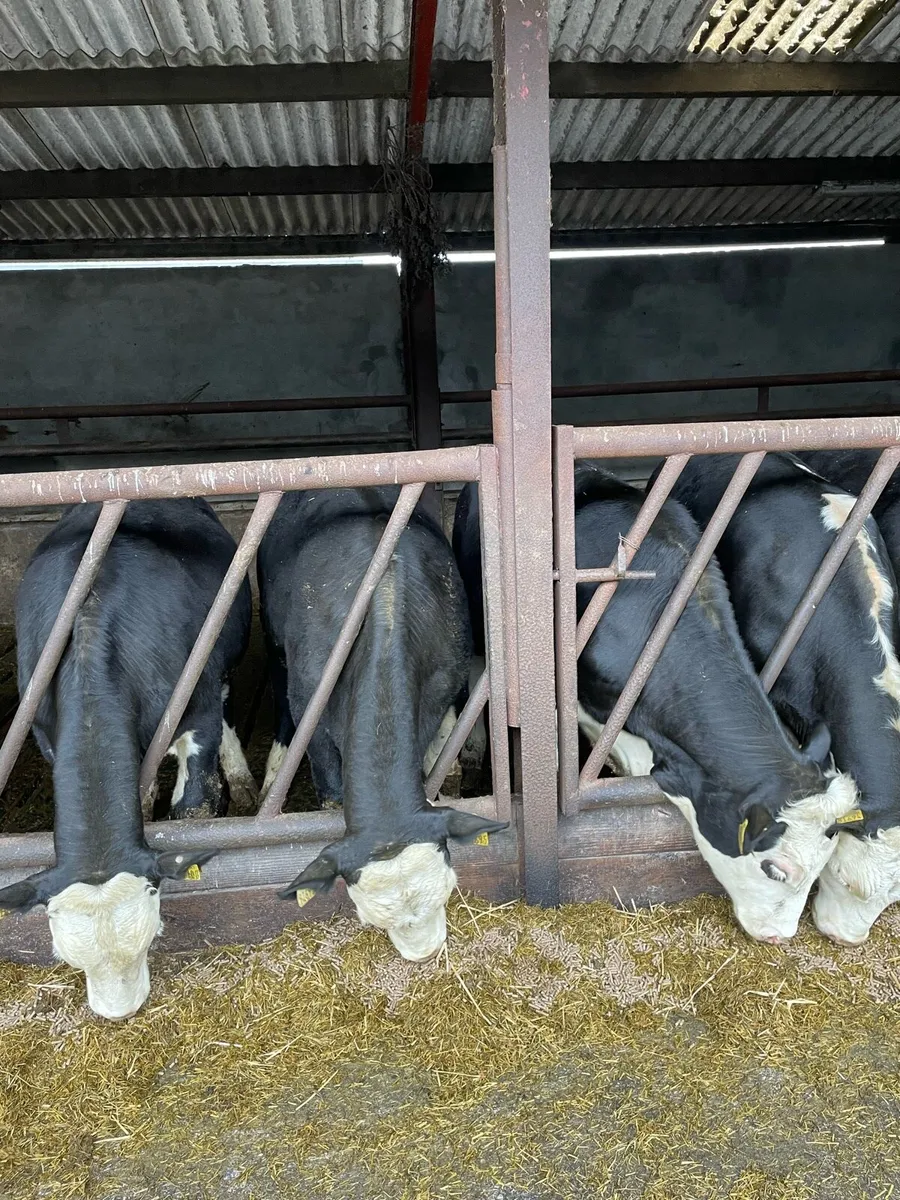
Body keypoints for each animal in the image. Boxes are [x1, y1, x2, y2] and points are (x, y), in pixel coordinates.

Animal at [0, 499, 256, 1019]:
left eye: (149, 939)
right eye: (68, 957)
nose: (118, 1013)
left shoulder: (197, 712)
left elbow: (195, 807)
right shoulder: (46, 735)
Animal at [257, 487, 507, 963]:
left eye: (447, 891)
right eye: (372, 918)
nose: (425, 956)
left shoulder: (442, 693)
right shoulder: (311, 707)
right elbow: (329, 790)